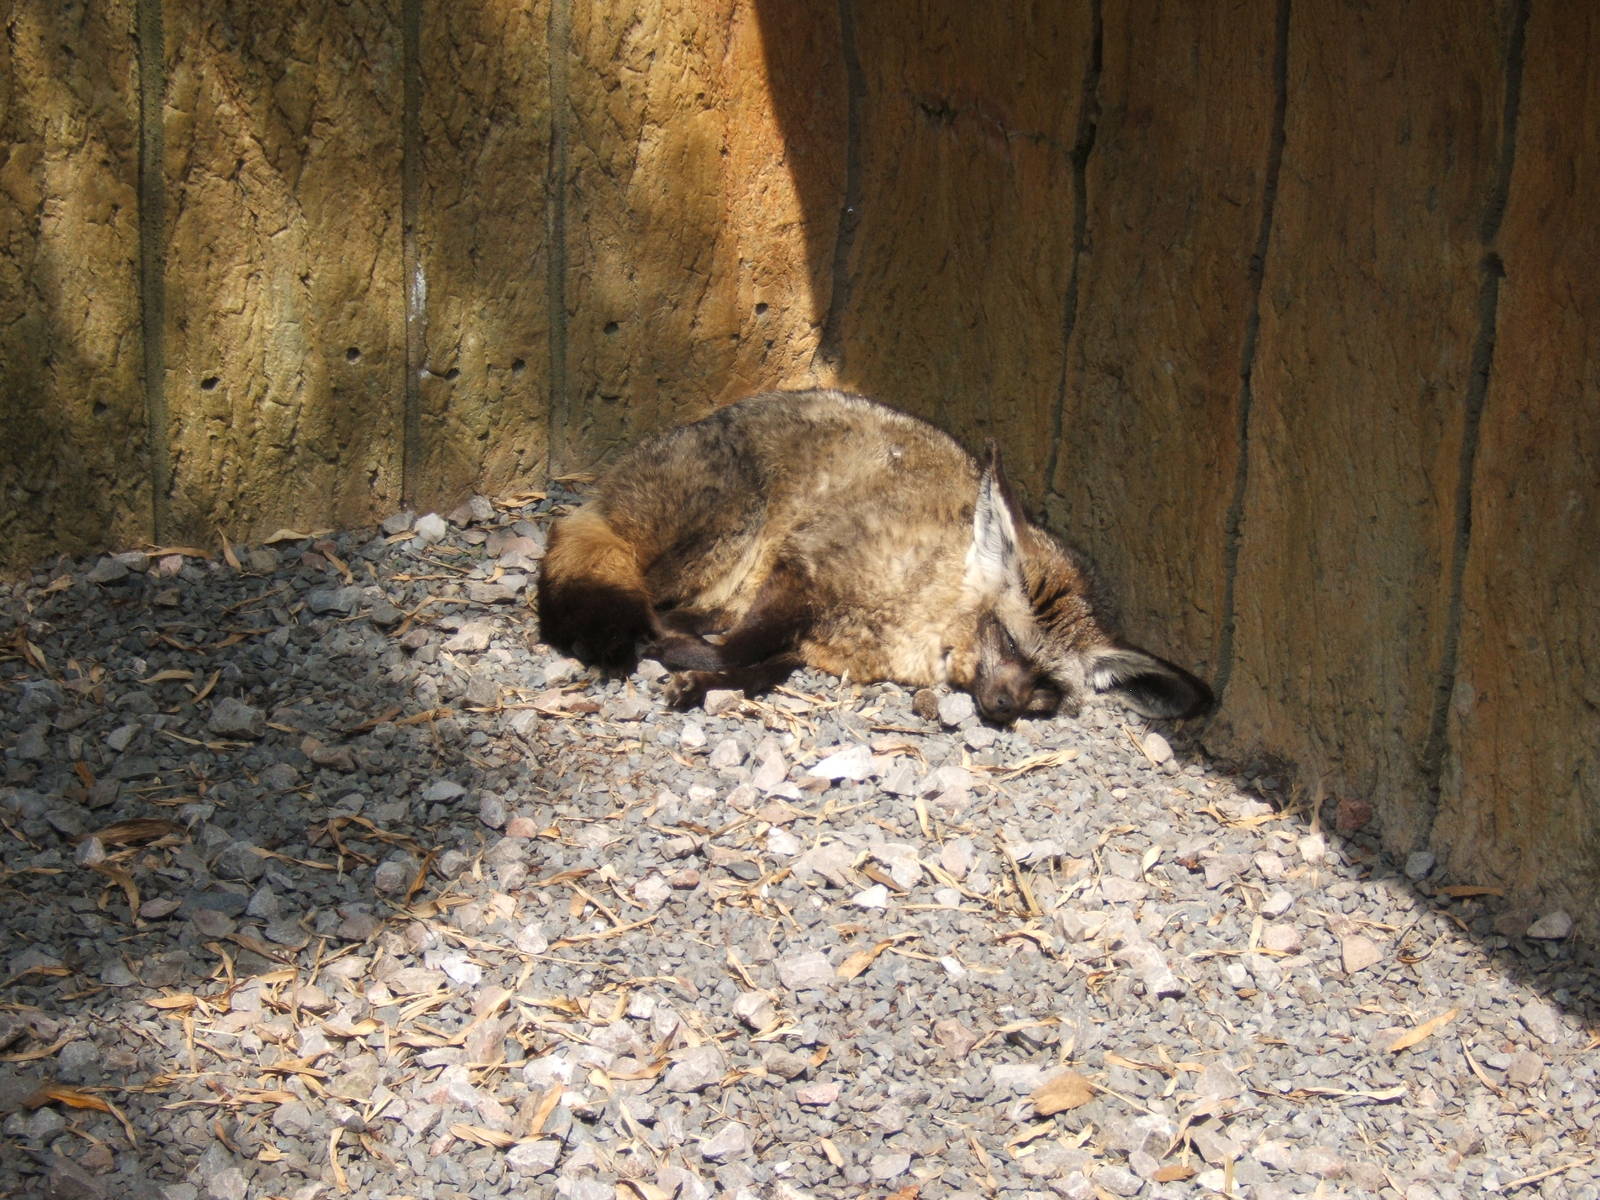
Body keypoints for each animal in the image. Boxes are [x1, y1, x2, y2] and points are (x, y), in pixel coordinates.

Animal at [535, 389, 1210, 725]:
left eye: (1047, 684)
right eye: (1012, 643)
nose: (1003, 709)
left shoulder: (817, 641)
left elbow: (761, 667)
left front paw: (700, 680)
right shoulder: (802, 566)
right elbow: (742, 650)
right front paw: (681, 659)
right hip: (725, 535)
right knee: (603, 564)